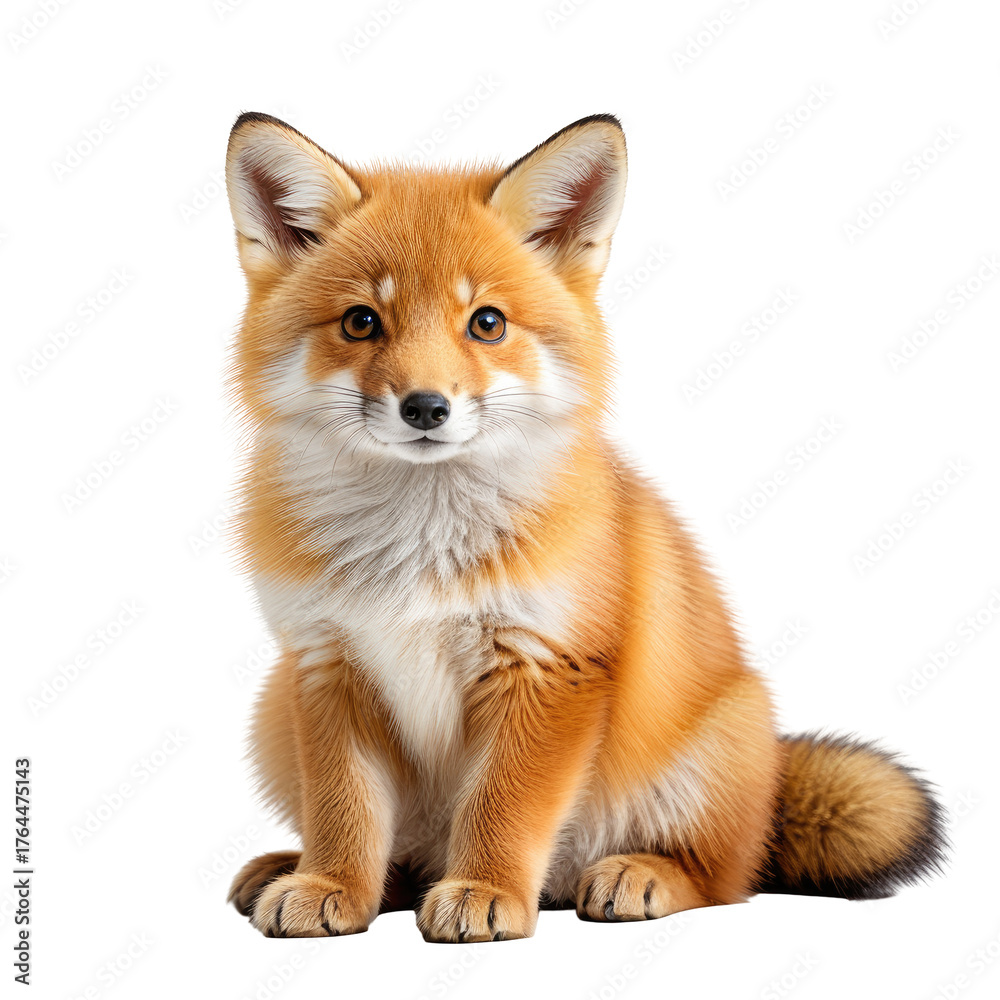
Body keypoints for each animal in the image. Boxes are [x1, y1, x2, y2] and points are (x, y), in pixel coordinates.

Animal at [223, 111, 946, 942]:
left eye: (487, 323)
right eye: (361, 322)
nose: (426, 408)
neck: (418, 555)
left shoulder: (549, 665)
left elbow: (503, 807)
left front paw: (486, 888)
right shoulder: (325, 663)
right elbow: (344, 812)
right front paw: (332, 885)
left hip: (714, 748)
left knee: (727, 879)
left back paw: (640, 874)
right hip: (270, 714)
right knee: (402, 857)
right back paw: (309, 868)